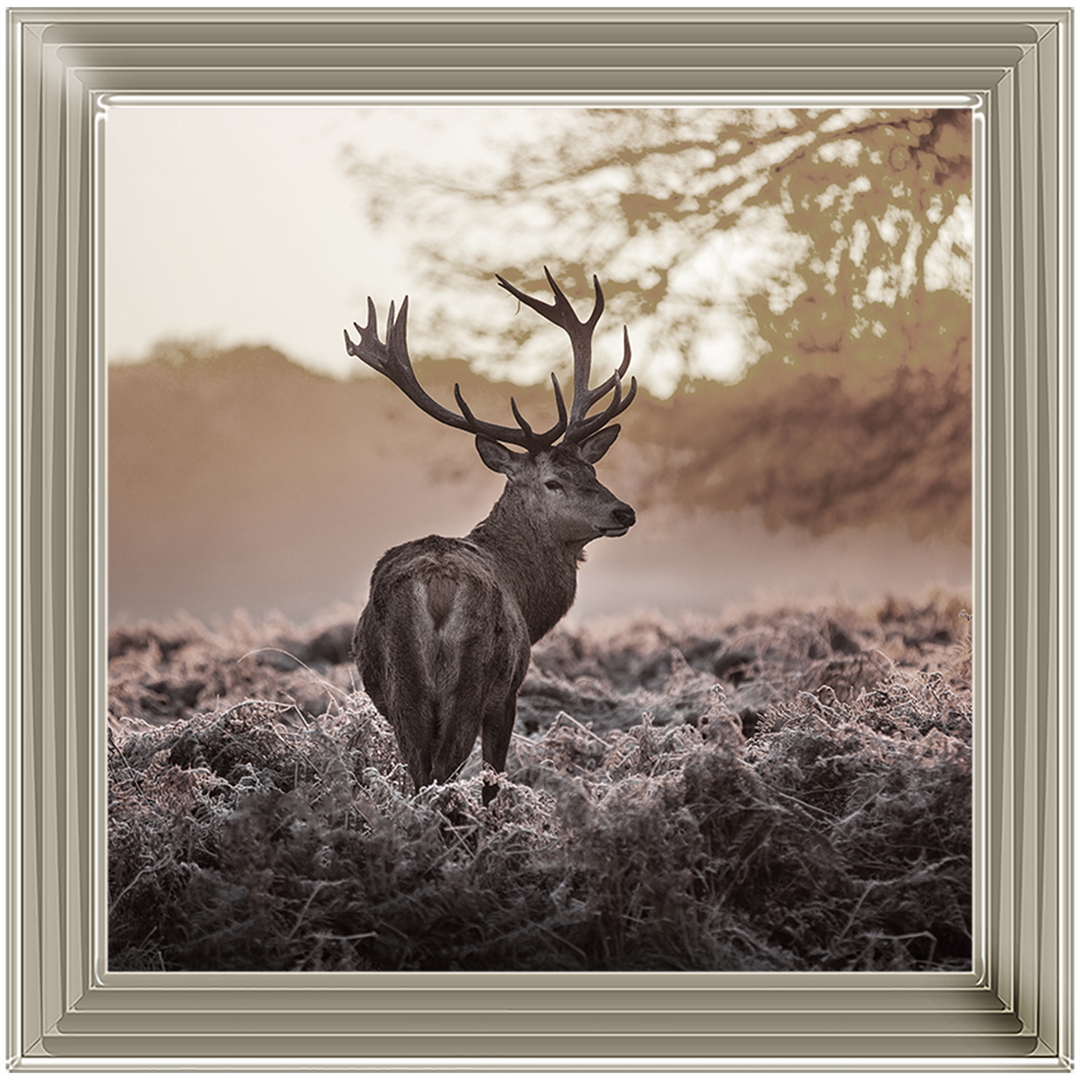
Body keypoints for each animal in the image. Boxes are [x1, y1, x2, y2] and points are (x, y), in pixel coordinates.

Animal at [345, 268, 637, 806]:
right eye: (553, 481)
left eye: (591, 469)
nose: (623, 511)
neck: (528, 597)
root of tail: (435, 586)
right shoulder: (509, 692)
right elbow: (493, 780)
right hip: (472, 680)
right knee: (443, 772)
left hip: (402, 688)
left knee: (419, 772)